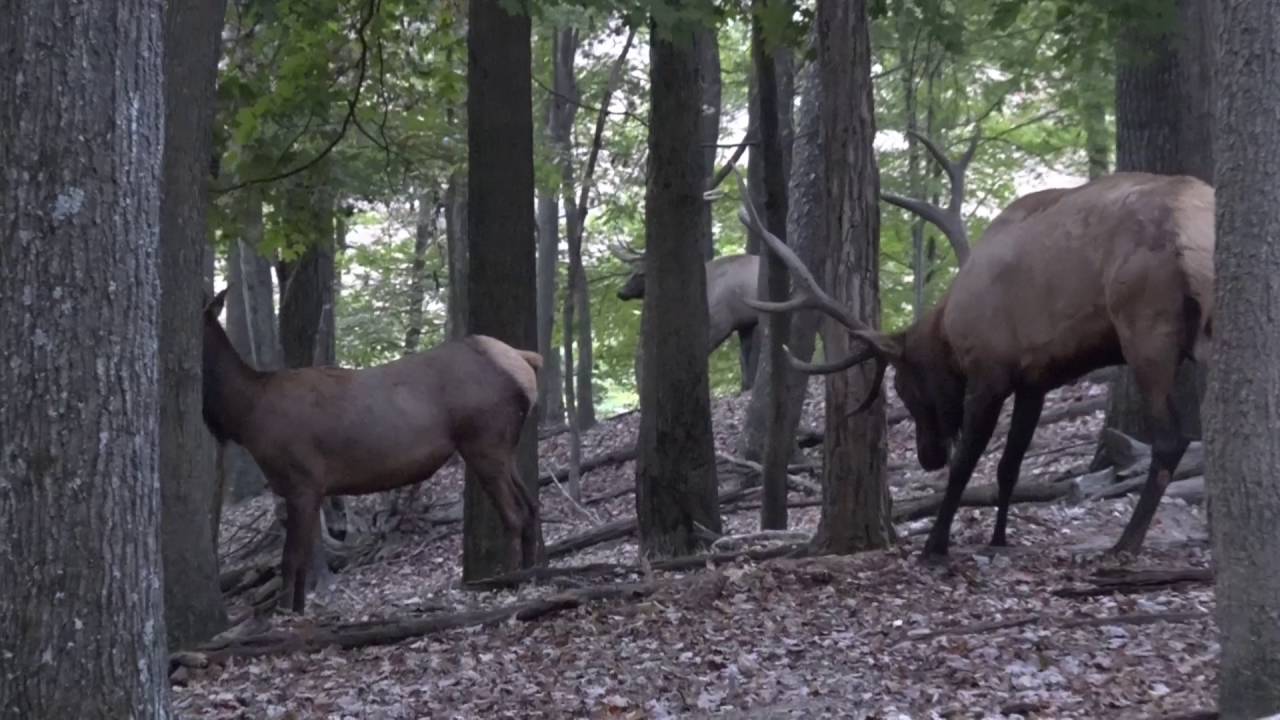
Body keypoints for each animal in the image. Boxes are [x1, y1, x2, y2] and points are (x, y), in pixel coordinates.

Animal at [201, 288, 543, 613]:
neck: (247, 418)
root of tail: (522, 361)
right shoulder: (309, 488)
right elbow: (304, 559)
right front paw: (298, 610)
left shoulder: (301, 481)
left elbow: (291, 559)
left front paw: (285, 613)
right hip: (503, 446)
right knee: (531, 505)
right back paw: (531, 571)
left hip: (484, 440)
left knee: (513, 514)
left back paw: (510, 580)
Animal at [612, 243, 762, 389]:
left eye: (640, 273)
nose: (621, 292)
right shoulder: (744, 323)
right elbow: (744, 354)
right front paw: (747, 385)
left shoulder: (722, 321)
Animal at [736, 157, 1214, 562]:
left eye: (904, 388)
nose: (928, 457)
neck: (950, 328)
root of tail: (1194, 230)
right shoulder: (1034, 380)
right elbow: (1008, 465)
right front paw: (999, 538)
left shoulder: (989, 373)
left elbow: (967, 463)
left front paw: (935, 545)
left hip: (1146, 328)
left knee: (1172, 438)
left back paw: (1125, 543)